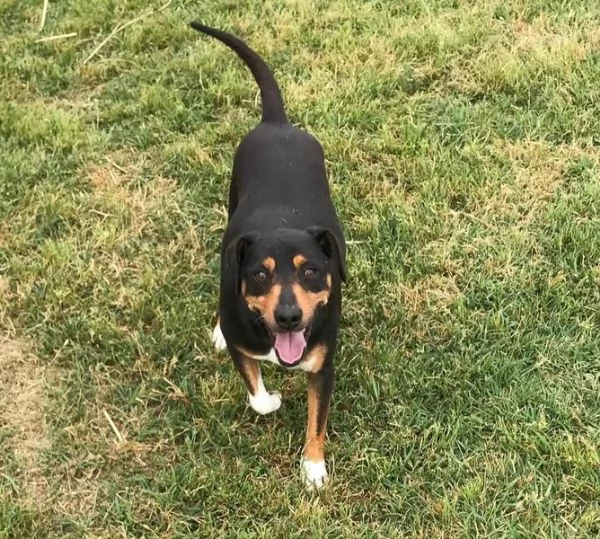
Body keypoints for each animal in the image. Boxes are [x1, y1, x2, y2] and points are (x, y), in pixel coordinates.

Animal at [190, 23, 344, 492]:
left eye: (311, 271)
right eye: (259, 274)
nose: (289, 317)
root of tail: (277, 123)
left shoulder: (322, 366)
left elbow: (317, 421)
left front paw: (313, 466)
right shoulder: (244, 343)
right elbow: (258, 397)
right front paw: (271, 399)